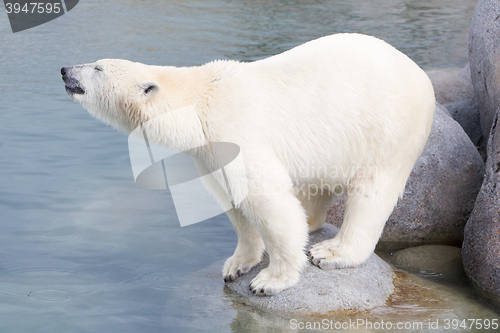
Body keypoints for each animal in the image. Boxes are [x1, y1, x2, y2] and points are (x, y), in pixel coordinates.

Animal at [62, 33, 436, 294]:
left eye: (97, 67)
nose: (65, 69)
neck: (198, 103)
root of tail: (421, 75)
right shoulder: (210, 153)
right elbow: (232, 200)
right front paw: (237, 265)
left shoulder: (235, 130)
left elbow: (265, 198)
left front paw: (270, 280)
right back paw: (311, 220)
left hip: (387, 130)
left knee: (371, 193)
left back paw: (332, 252)